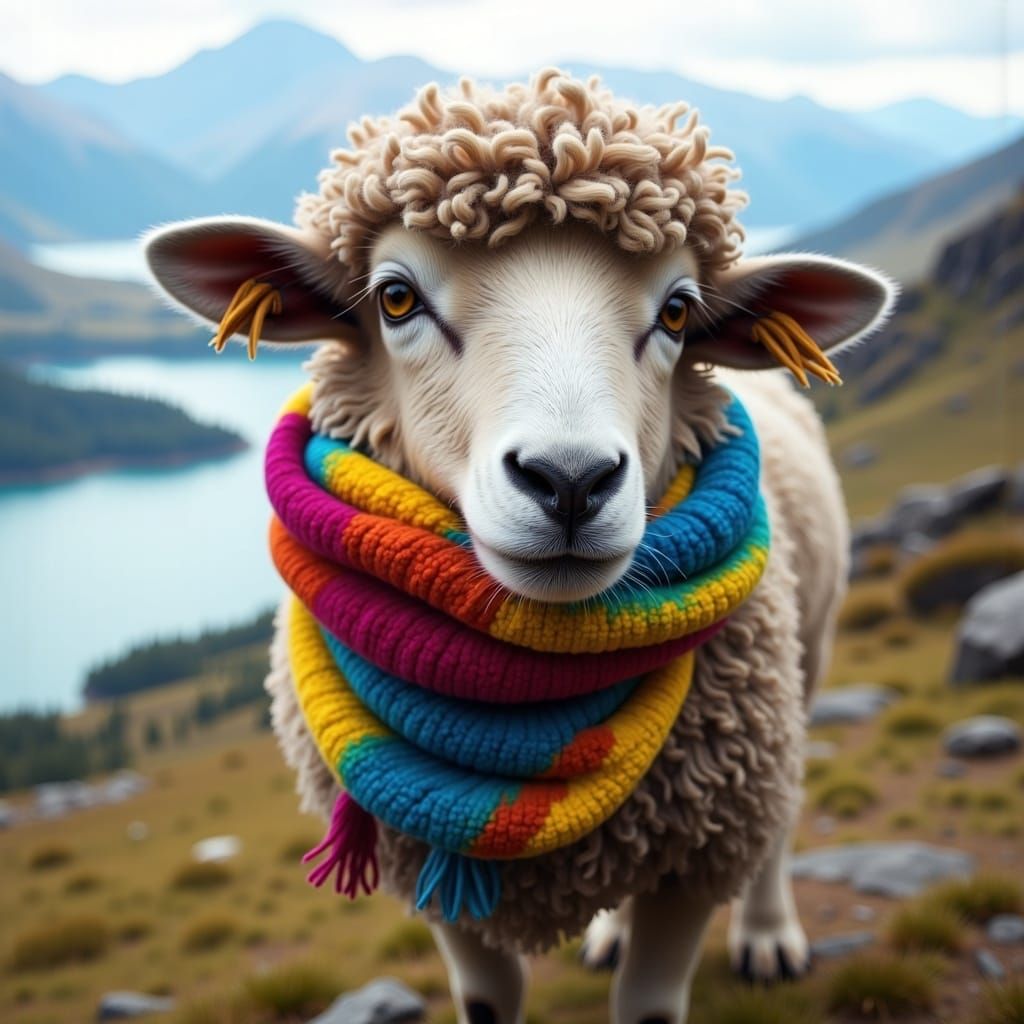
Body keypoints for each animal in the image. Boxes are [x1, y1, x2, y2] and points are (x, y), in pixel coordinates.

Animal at [145, 70, 894, 1024]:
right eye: (395, 297)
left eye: (677, 312)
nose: (570, 480)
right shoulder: (434, 879)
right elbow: (489, 996)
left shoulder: (694, 857)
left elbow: (651, 997)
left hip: (808, 659)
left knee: (782, 813)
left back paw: (767, 933)